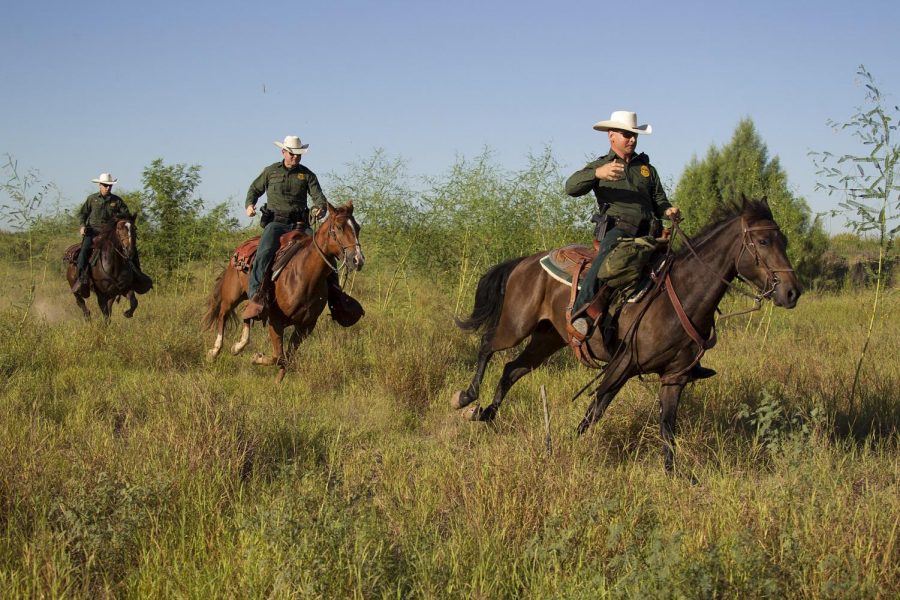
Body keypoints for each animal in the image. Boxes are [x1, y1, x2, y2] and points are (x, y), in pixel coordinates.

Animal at [206, 200, 364, 380]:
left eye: (357, 227)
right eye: (338, 227)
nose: (358, 260)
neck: (304, 276)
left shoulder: (305, 326)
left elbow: (287, 359)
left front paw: (277, 384)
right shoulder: (275, 321)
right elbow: (278, 356)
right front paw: (257, 358)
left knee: (248, 314)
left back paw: (239, 346)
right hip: (232, 295)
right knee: (222, 315)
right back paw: (214, 352)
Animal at [450, 199, 800, 472]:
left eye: (783, 240)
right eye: (764, 242)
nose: (791, 292)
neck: (681, 295)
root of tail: (526, 261)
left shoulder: (674, 377)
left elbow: (668, 427)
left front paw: (677, 477)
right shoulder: (622, 365)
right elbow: (595, 411)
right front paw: (567, 448)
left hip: (548, 338)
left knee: (513, 369)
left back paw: (486, 413)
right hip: (516, 326)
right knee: (488, 346)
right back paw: (466, 398)